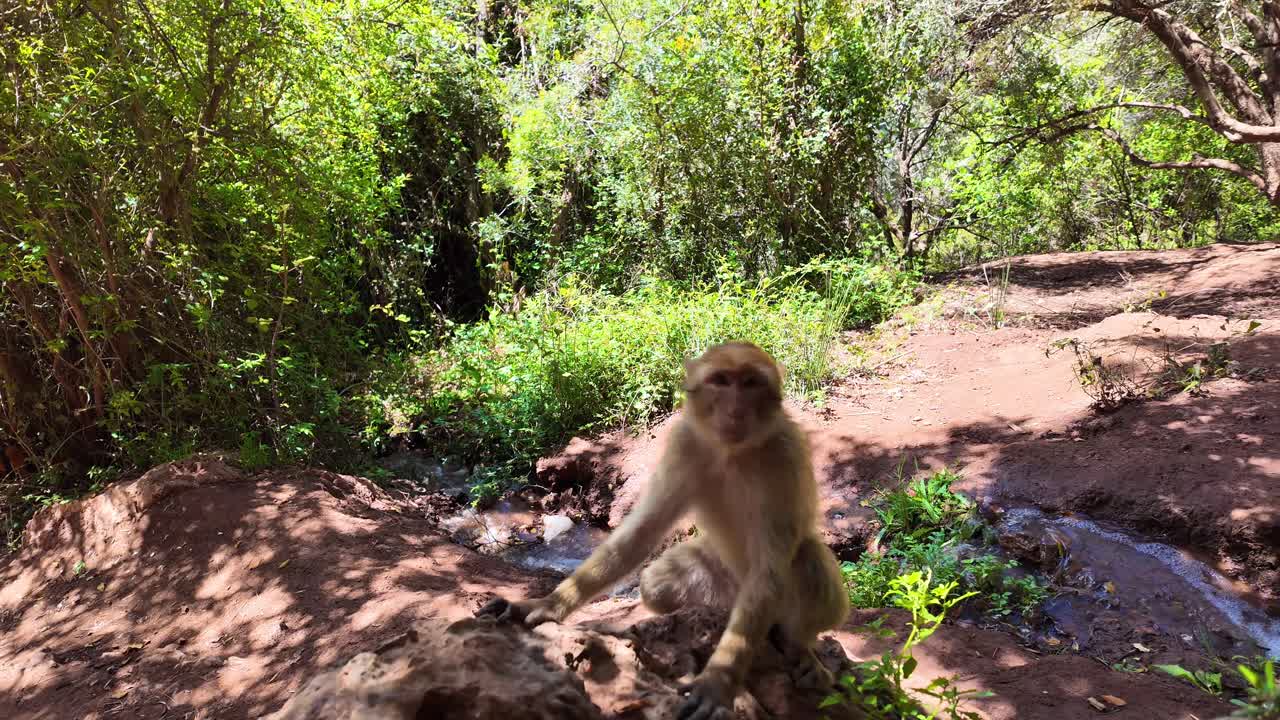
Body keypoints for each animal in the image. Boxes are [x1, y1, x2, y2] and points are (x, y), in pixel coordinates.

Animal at [478, 341, 850, 720]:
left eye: (750, 383)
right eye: (721, 380)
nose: (735, 409)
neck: (731, 451)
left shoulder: (784, 457)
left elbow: (769, 570)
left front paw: (718, 681)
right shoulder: (684, 442)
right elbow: (643, 530)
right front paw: (546, 604)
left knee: (804, 560)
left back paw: (799, 647)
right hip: (718, 582)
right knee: (657, 585)